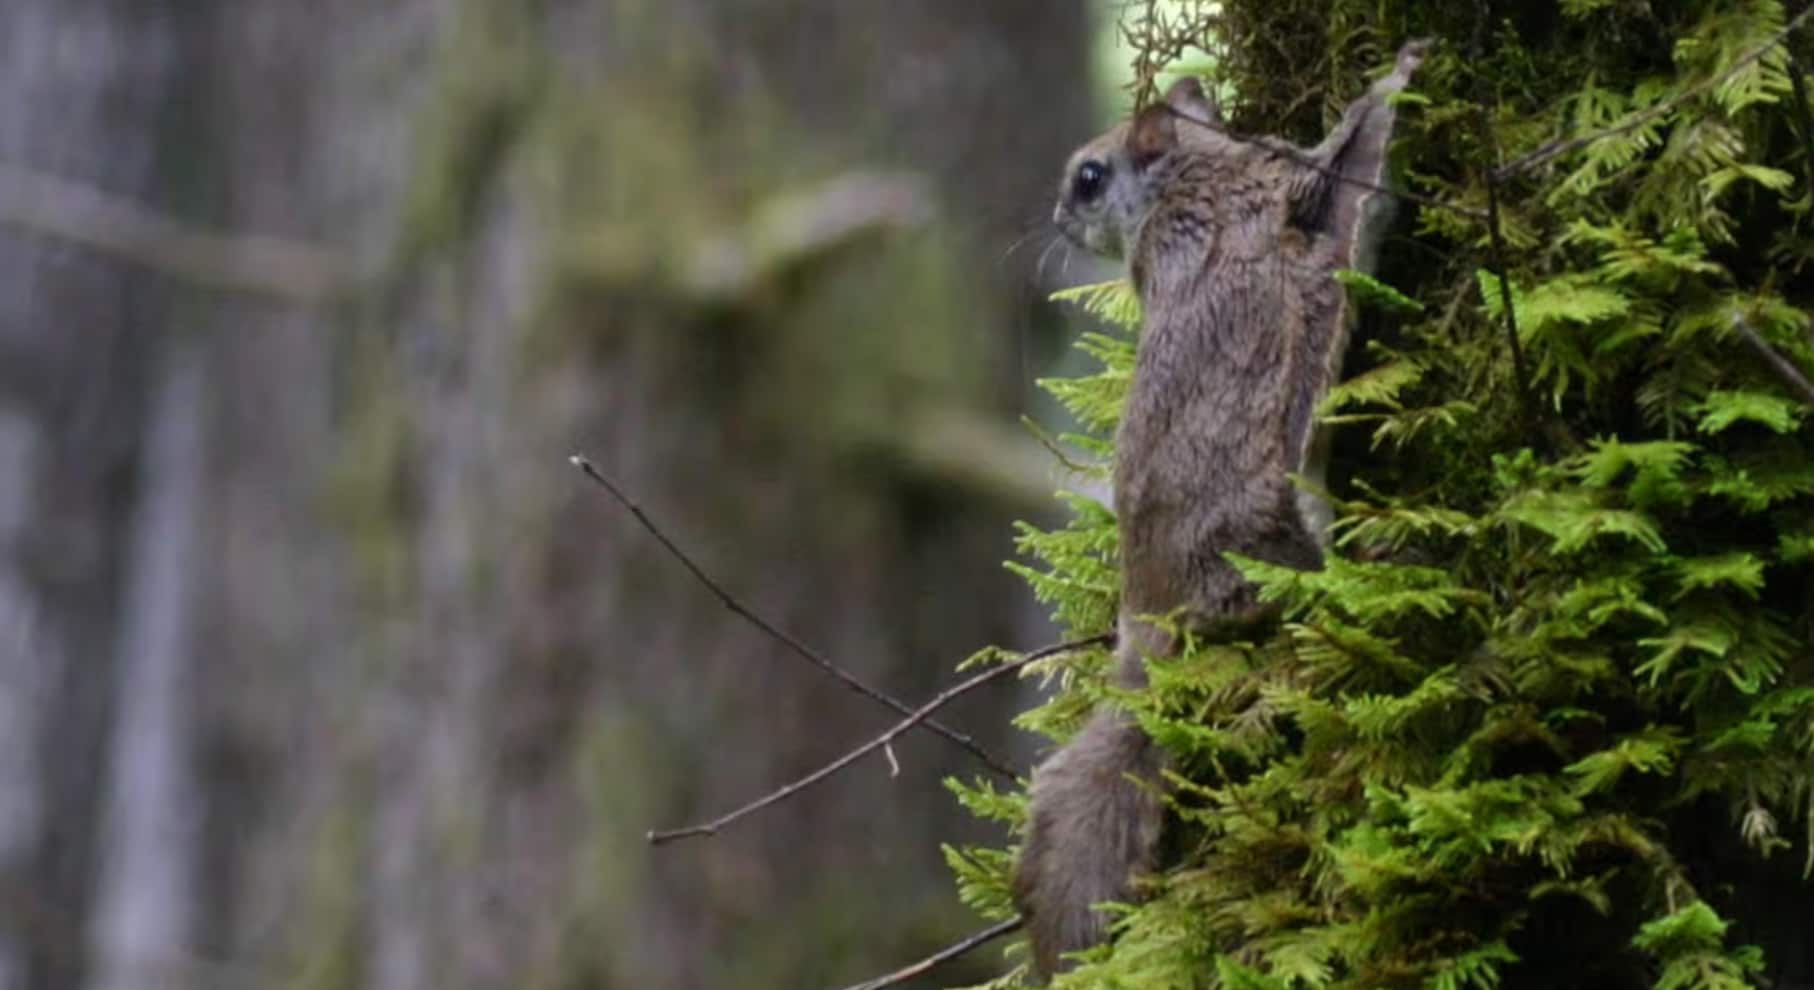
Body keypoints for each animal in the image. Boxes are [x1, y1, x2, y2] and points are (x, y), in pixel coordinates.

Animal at [1013, 41, 1429, 979]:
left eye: (1088, 177)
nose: (1056, 219)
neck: (1195, 175)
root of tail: (1151, 625)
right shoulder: (1292, 192)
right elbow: (1350, 156)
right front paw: (1399, 77)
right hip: (1264, 537)